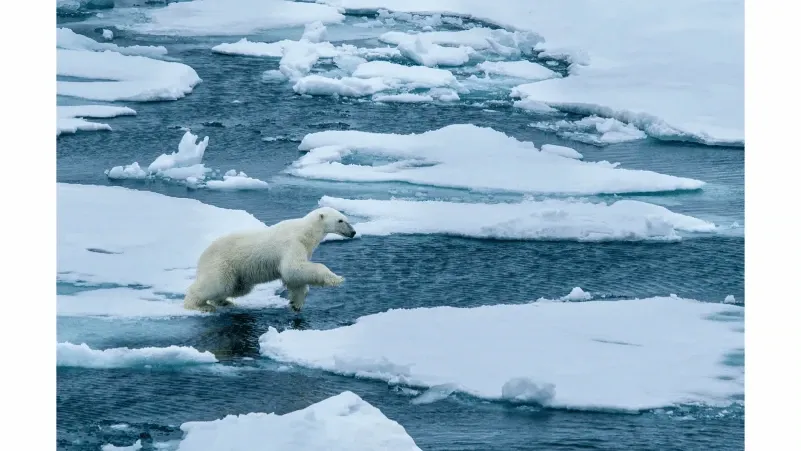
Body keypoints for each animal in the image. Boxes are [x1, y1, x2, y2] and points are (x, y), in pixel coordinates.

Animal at [184, 207, 356, 312]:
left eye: (346, 218)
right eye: (341, 220)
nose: (353, 232)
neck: (305, 233)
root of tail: (202, 256)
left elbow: (295, 278)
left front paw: (296, 304)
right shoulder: (292, 244)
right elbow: (293, 268)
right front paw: (337, 278)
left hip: (238, 274)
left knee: (235, 288)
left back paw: (224, 302)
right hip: (222, 263)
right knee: (215, 284)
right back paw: (199, 305)